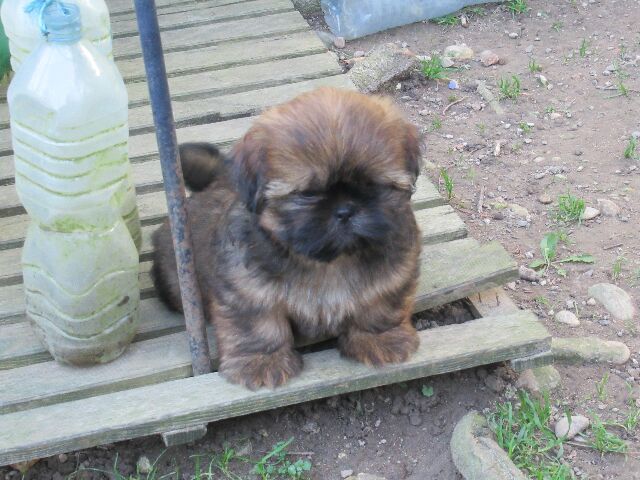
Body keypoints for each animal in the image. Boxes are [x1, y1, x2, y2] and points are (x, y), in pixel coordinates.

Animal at [151, 87, 422, 390]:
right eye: (308, 193)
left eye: (371, 185)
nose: (345, 210)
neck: (329, 262)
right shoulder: (247, 288)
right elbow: (258, 323)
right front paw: (262, 360)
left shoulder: (395, 271)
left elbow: (379, 304)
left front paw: (380, 338)